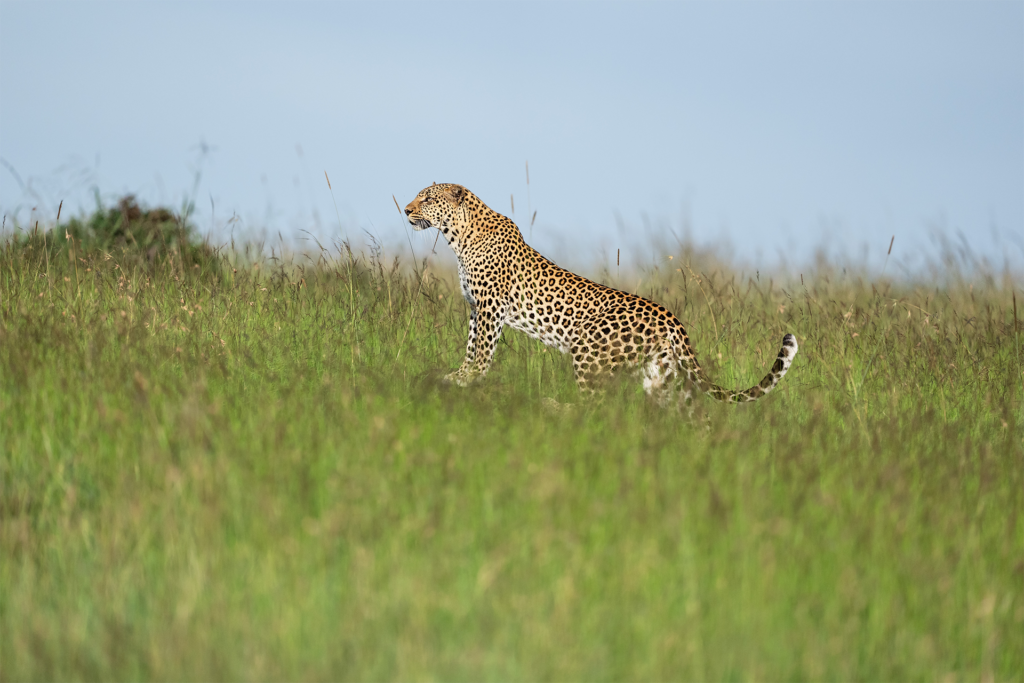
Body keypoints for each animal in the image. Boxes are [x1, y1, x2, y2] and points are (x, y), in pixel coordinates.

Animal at [401, 180, 798, 405]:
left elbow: (482, 350)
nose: (405, 210)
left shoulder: (490, 307)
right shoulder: (475, 307)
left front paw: (466, 380)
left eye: (427, 198)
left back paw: (557, 409)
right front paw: (458, 376)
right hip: (661, 373)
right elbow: (471, 347)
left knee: (594, 409)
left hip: (588, 351)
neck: (458, 235)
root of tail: (670, 317)